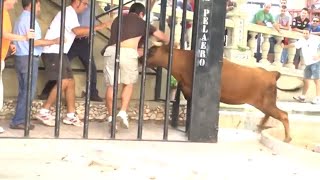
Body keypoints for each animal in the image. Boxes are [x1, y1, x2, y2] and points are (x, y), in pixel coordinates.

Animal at [144, 45, 292, 143]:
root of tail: (272, 73)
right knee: (273, 114)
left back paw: (287, 138)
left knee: (283, 114)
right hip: (267, 103)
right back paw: (261, 126)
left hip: (265, 103)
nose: (141, 58)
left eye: (152, 51)